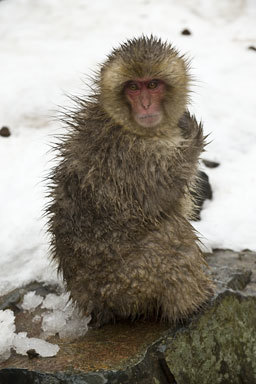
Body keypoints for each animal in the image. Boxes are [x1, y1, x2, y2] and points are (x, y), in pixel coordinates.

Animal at [46, 36, 214, 328]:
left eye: (153, 85)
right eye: (133, 87)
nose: (145, 105)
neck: (126, 124)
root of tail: (96, 305)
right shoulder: (131, 154)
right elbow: (157, 196)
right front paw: (192, 132)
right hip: (133, 281)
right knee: (171, 234)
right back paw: (190, 306)